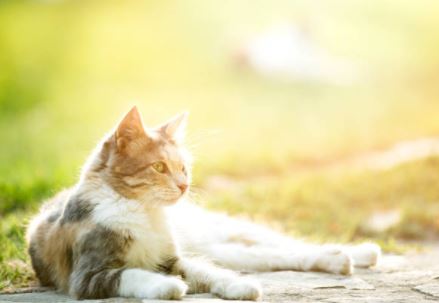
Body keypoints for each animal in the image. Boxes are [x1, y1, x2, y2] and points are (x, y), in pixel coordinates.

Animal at [25, 107, 382, 302]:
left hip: (221, 233)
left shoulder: (173, 257)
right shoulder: (87, 275)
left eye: (183, 168)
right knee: (272, 255)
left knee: (283, 245)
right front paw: (167, 286)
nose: (184, 185)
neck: (144, 212)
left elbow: (206, 272)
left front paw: (239, 285)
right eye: (159, 167)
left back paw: (357, 253)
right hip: (225, 248)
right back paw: (341, 259)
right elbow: (131, 274)